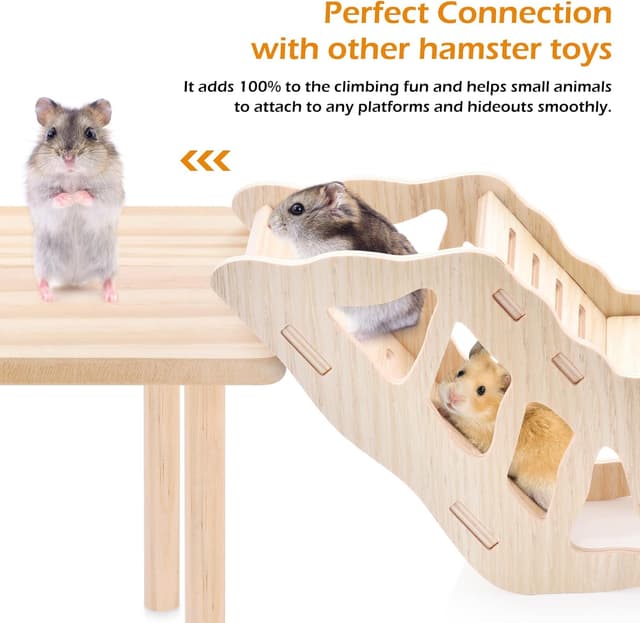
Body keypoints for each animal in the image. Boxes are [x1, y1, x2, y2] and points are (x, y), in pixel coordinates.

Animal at [26, 97, 124, 302]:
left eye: (91, 133)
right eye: (50, 133)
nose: (69, 158)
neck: (72, 177)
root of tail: (75, 278)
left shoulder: (109, 195)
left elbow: (92, 198)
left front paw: (76, 196)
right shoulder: (39, 195)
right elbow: (52, 200)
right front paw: (68, 198)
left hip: (108, 258)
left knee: (108, 278)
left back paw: (111, 296)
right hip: (43, 257)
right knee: (43, 278)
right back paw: (47, 297)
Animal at [436, 342, 573, 511]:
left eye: (481, 390)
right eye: (461, 372)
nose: (452, 397)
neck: (489, 413)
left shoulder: (479, 436)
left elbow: (456, 419)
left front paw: (441, 409)